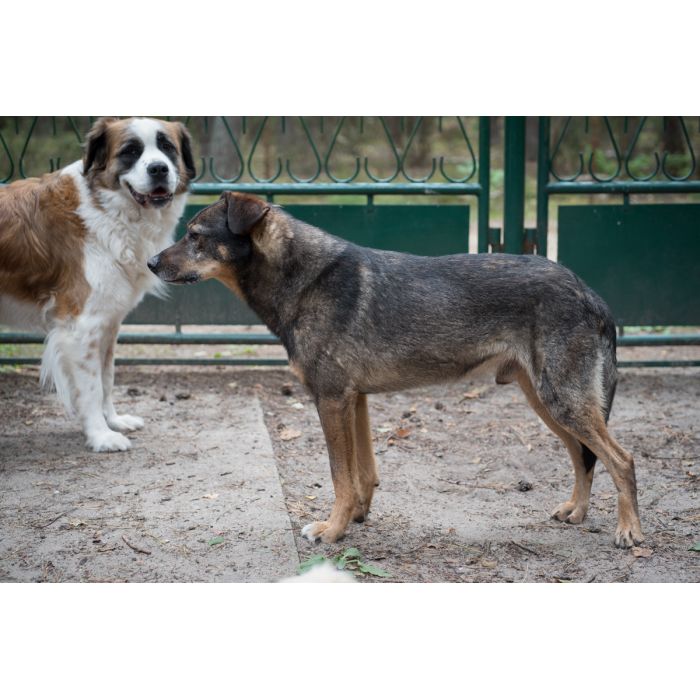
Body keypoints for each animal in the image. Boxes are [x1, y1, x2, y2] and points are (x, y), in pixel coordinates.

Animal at [0, 117, 194, 452]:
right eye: (131, 151)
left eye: (167, 147)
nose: (159, 169)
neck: (109, 209)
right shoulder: (82, 327)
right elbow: (90, 387)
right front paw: (101, 435)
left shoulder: (107, 323)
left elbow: (107, 378)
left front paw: (113, 421)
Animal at [149, 191, 644, 548]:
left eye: (194, 234)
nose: (151, 263)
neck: (304, 279)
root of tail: (590, 293)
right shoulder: (356, 401)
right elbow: (362, 474)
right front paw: (356, 517)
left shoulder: (331, 400)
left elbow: (340, 476)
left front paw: (332, 530)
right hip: (548, 402)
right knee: (584, 456)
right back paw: (576, 511)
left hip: (562, 402)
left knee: (620, 459)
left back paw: (629, 531)